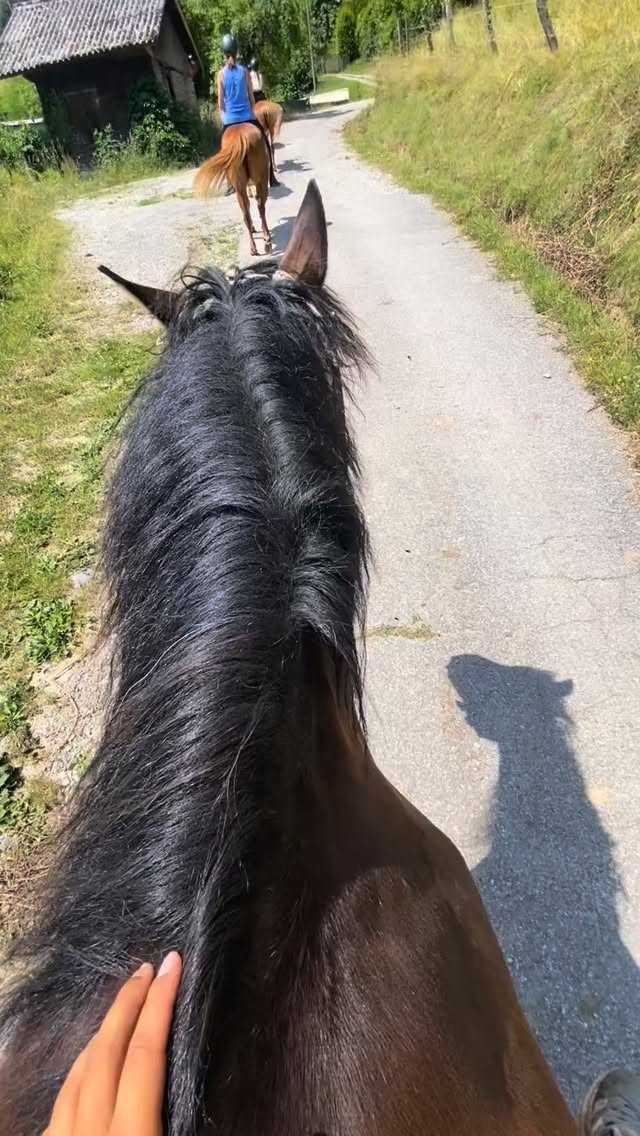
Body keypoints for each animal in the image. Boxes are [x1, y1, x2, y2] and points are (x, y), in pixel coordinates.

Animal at [194, 123, 271, 257]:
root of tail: (241, 137)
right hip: (261, 179)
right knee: (260, 206)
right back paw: (266, 240)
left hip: (239, 187)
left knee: (246, 213)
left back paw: (253, 248)